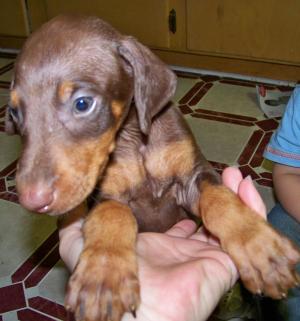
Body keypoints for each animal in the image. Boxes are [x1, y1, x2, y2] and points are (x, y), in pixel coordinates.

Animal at [5, 14, 300, 320]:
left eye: (83, 103)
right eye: (14, 112)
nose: (31, 200)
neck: (136, 139)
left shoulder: (193, 178)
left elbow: (219, 198)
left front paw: (259, 247)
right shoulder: (107, 195)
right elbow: (112, 215)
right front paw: (103, 275)